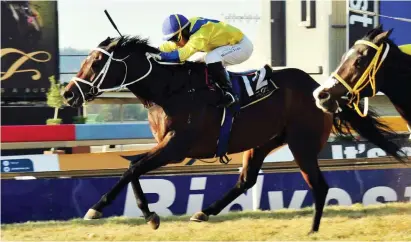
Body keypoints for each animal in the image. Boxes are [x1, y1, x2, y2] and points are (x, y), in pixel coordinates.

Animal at [62, 35, 408, 233]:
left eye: (96, 61)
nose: (68, 94)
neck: (170, 90)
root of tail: (318, 88)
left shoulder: (177, 147)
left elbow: (132, 167)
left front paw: (101, 208)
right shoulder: (166, 145)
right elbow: (133, 167)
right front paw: (148, 214)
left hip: (302, 144)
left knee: (319, 186)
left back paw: (312, 231)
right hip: (263, 143)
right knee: (246, 180)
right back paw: (204, 212)